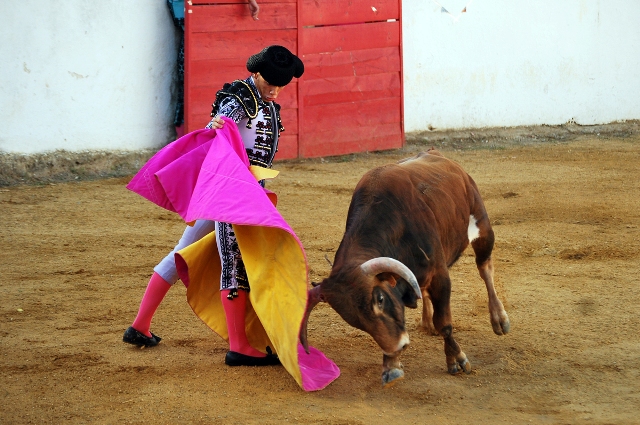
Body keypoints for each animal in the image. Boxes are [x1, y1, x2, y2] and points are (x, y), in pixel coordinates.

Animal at [300, 147, 510, 386]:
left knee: (485, 269)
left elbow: (444, 322)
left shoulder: (440, 276)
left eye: (380, 299)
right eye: (353, 320)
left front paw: (456, 359)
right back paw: (427, 322)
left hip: (482, 226)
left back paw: (499, 319)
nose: (398, 346)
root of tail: (437, 154)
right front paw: (391, 365)